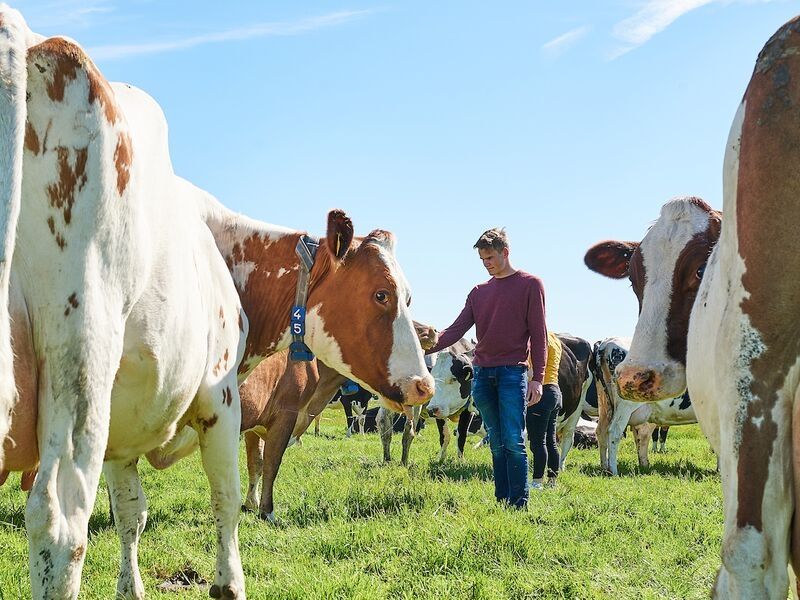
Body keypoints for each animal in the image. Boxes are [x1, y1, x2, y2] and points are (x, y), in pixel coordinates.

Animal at [0, 8, 434, 598]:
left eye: (408, 295)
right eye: (381, 294)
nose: (424, 385)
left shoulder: (123, 426)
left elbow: (130, 513)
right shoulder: (220, 398)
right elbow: (227, 503)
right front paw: (230, 579)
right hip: (81, 363)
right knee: (61, 523)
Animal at [590, 338, 696, 475]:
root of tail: (607, 342)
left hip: (604, 404)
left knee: (601, 431)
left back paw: (604, 467)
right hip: (625, 406)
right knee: (614, 431)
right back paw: (613, 471)